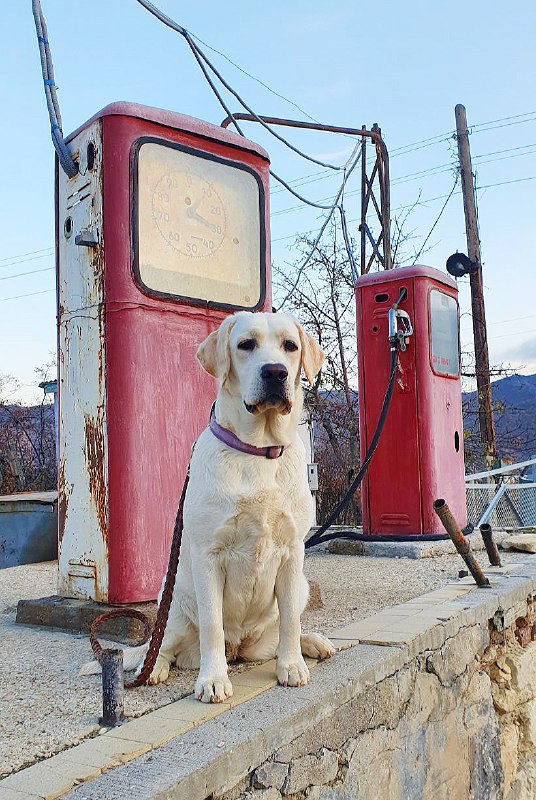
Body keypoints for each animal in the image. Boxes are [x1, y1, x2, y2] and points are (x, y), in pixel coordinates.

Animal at [81, 310, 332, 700]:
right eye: (246, 344)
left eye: (290, 346)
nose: (276, 372)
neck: (257, 450)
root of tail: (238, 646)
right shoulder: (207, 555)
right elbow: (212, 624)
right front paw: (213, 679)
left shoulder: (292, 553)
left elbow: (291, 620)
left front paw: (291, 665)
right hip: (172, 599)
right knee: (162, 646)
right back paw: (152, 669)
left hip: (295, 593)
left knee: (278, 635)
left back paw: (312, 642)